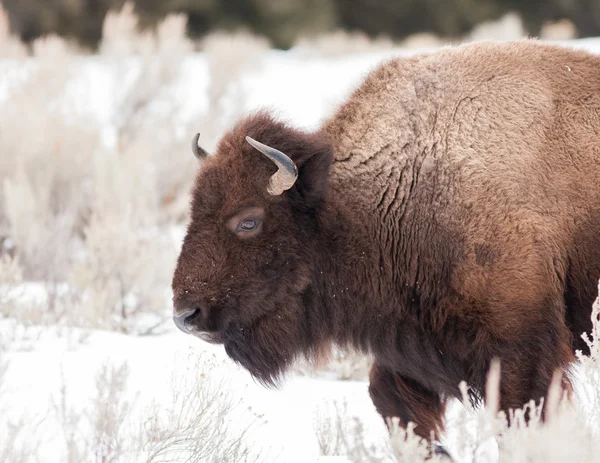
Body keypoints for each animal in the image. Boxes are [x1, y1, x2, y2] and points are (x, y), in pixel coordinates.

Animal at [171, 40, 600, 454]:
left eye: (249, 220)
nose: (186, 315)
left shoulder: (519, 345)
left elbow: (521, 417)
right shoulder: (414, 340)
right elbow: (390, 400)